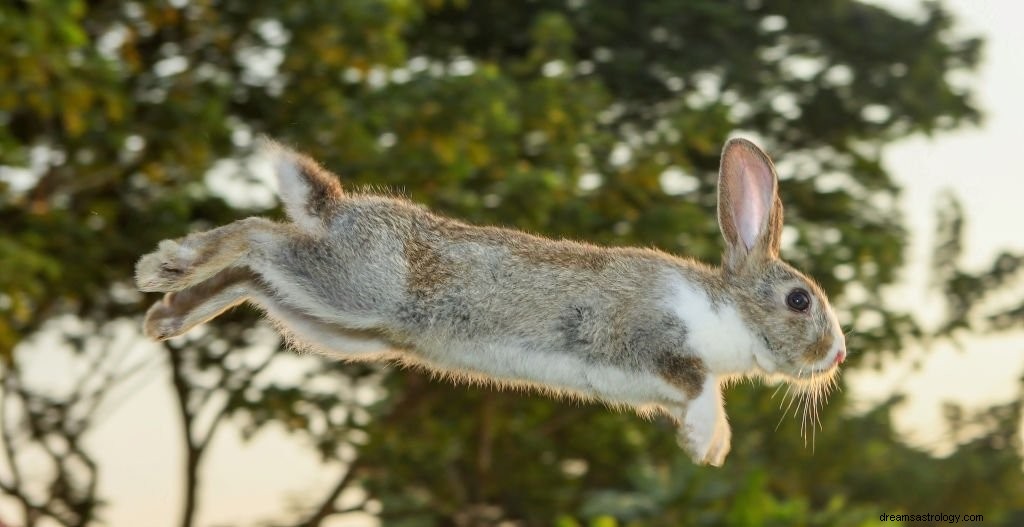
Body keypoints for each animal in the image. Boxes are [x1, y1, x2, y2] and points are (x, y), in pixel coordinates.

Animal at [140, 136, 851, 466]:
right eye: (798, 300)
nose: (838, 355)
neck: (725, 309)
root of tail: (336, 211)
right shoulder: (644, 337)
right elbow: (703, 386)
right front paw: (710, 444)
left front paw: (707, 444)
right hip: (352, 288)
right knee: (256, 237)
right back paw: (164, 264)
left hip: (332, 319)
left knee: (253, 275)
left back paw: (168, 312)